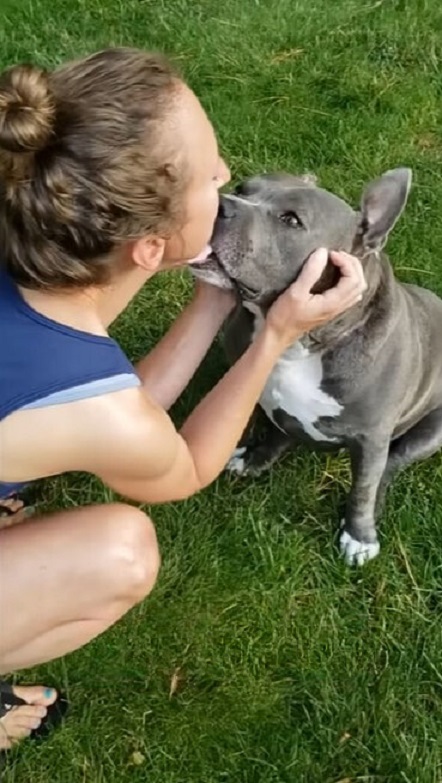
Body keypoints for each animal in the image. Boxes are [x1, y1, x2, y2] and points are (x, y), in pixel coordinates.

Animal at [193, 170, 442, 564]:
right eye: (243, 188)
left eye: (291, 220)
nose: (219, 202)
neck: (301, 347)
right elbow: (264, 429)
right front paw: (252, 454)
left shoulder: (372, 437)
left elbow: (363, 486)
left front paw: (359, 534)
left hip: (432, 430)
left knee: (390, 465)